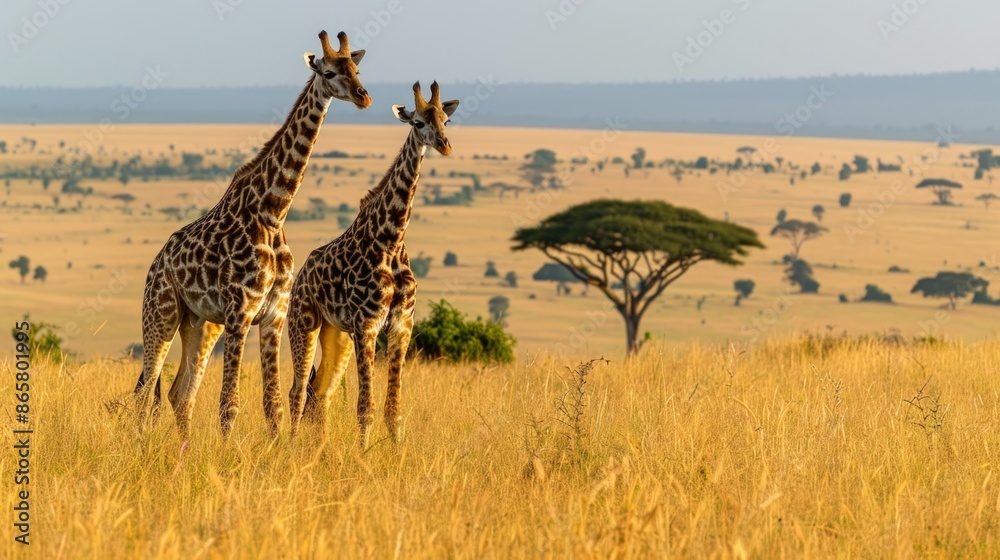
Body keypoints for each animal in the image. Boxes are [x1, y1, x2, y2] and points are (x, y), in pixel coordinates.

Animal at [133, 31, 371, 437]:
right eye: (328, 71)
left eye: (356, 69)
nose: (363, 96)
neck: (272, 212)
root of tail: (156, 263)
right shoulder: (240, 312)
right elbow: (229, 405)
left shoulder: (273, 315)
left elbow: (272, 405)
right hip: (161, 312)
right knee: (147, 390)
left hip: (198, 323)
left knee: (179, 393)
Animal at [287, 81, 458, 446]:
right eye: (418, 122)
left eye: (445, 120)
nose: (444, 145)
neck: (391, 241)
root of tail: (302, 276)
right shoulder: (366, 325)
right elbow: (365, 406)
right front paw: (363, 453)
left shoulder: (402, 324)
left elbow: (394, 409)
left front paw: (395, 452)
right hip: (304, 322)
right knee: (298, 390)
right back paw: (289, 445)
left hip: (336, 334)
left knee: (320, 393)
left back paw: (318, 448)